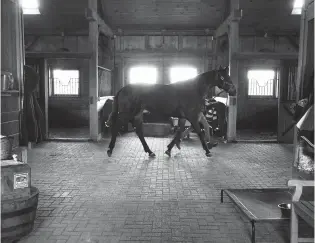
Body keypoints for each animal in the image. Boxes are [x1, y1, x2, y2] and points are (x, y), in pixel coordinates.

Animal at [106, 66, 237, 158]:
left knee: (139, 132)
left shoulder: (184, 117)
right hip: (127, 113)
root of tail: (122, 90)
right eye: (222, 77)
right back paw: (110, 150)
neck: (194, 90)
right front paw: (207, 151)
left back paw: (150, 152)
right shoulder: (193, 117)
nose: (233, 91)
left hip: (137, 114)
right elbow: (199, 132)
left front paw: (169, 149)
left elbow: (179, 131)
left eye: (229, 76)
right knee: (116, 126)